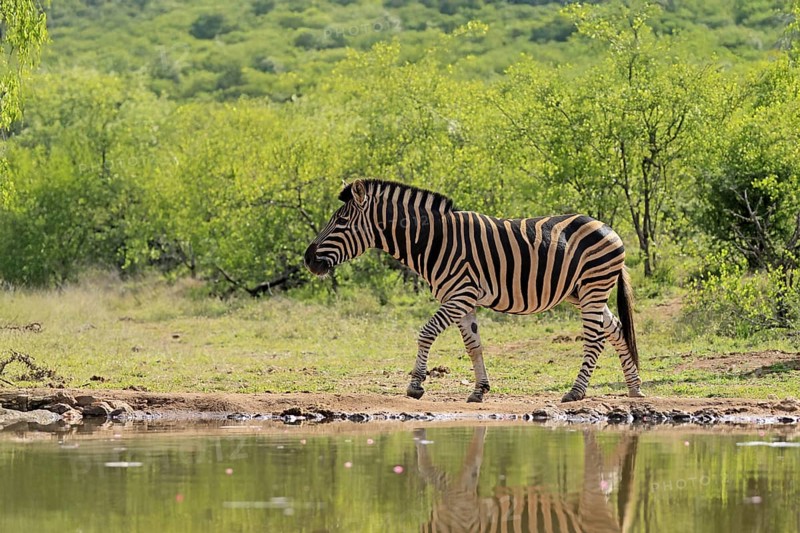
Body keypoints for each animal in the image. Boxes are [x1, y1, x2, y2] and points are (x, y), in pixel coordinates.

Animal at [304, 179, 644, 403]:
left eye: (341, 221)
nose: (308, 259)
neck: (433, 240)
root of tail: (609, 228)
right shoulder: (463, 300)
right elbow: (473, 345)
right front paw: (479, 390)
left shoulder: (460, 294)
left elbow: (426, 332)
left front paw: (416, 385)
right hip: (583, 292)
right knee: (616, 330)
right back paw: (634, 388)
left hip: (593, 286)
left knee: (595, 338)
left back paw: (576, 392)